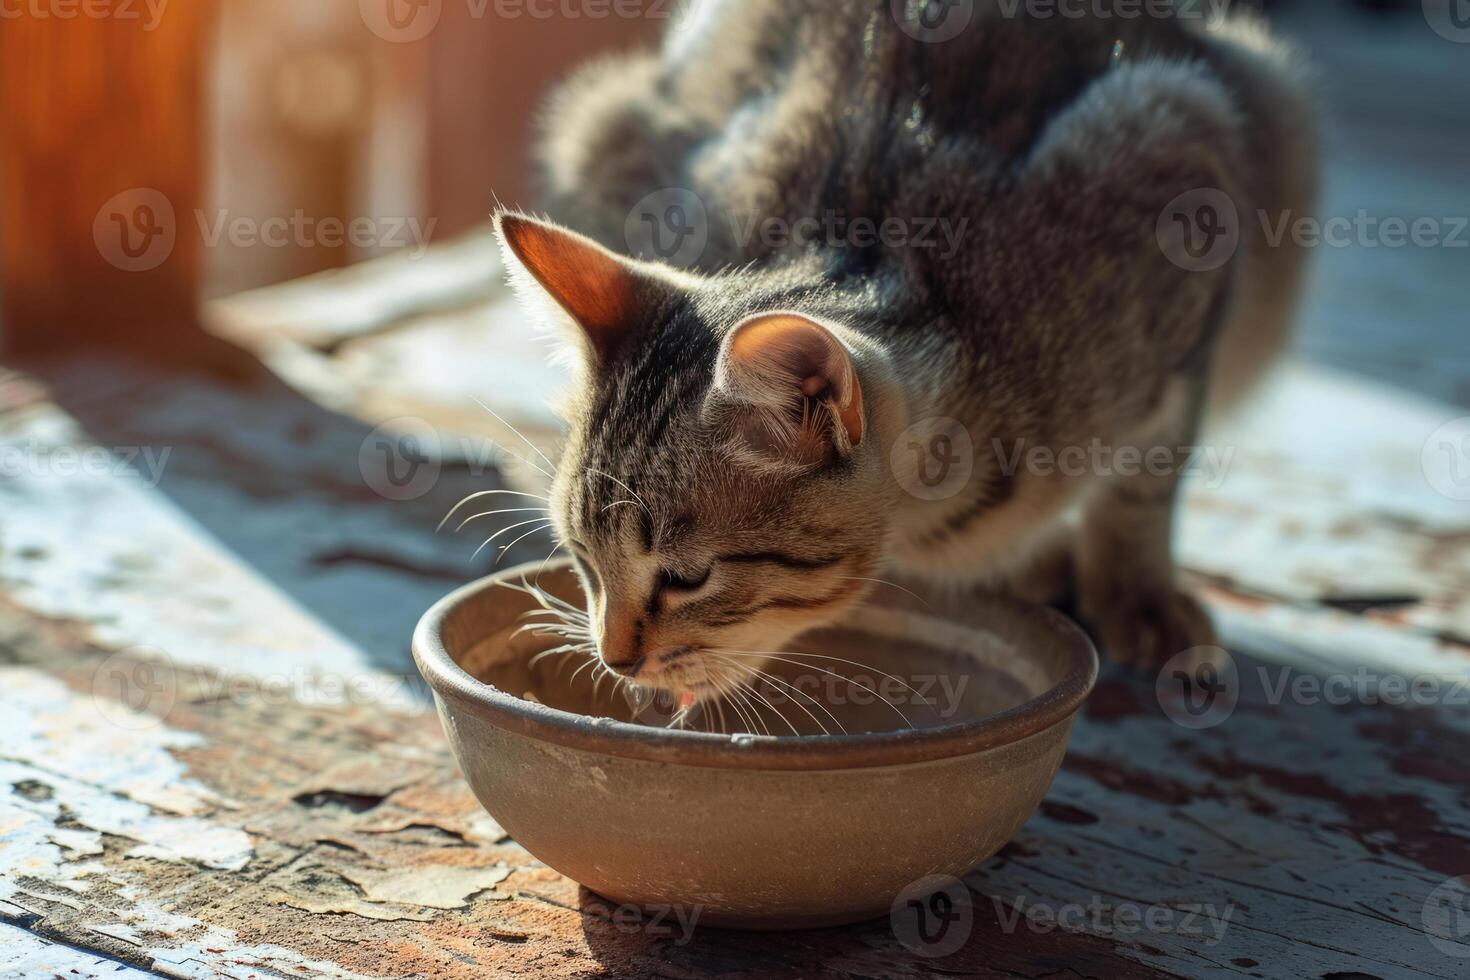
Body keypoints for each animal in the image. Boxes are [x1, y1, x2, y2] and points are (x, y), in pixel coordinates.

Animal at [490, 0, 1311, 705]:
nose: (614, 659)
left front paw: (1136, 592)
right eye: (583, 559)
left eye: (687, 578)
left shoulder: (1184, 171)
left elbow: (1146, 480)